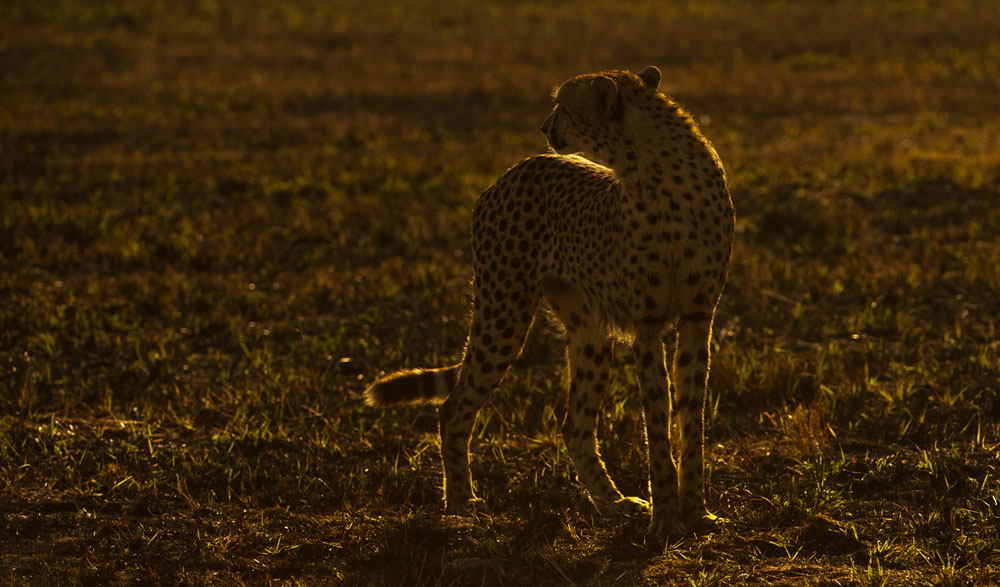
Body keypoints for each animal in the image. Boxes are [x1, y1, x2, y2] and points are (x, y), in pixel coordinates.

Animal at [363, 66, 734, 537]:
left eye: (563, 105)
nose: (543, 127)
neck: (655, 170)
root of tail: (517, 167)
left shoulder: (698, 316)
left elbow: (691, 418)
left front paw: (697, 512)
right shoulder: (647, 325)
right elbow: (657, 420)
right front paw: (666, 520)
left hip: (590, 333)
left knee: (574, 425)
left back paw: (612, 503)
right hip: (503, 310)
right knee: (453, 408)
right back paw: (462, 502)